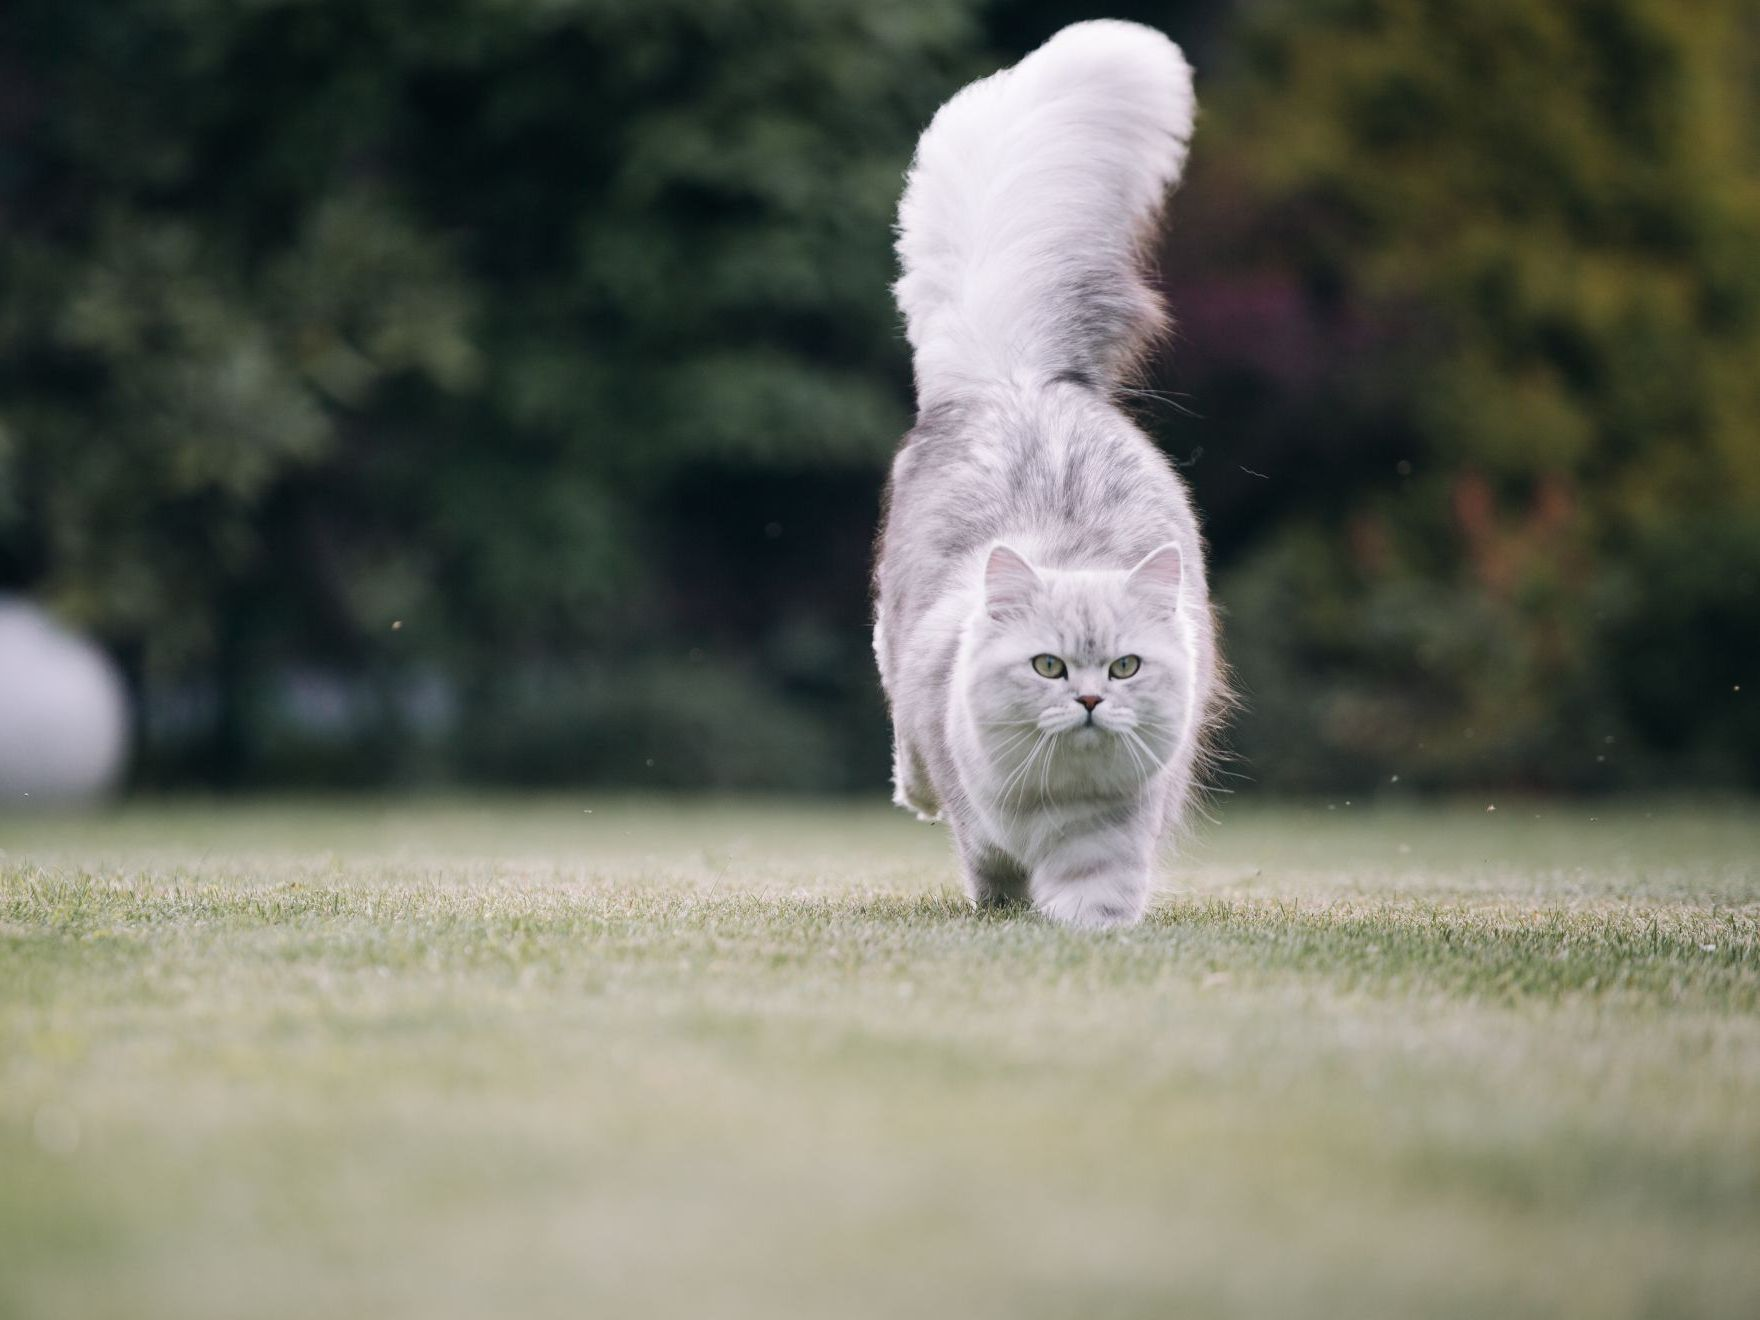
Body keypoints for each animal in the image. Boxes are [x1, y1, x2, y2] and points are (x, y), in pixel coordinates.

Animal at [869, 20, 1224, 929]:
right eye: (1048, 668)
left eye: (1125, 668)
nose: (1091, 702)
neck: (1058, 799)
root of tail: (1017, 379)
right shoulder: (981, 815)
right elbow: (987, 861)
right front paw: (1004, 903)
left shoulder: (1116, 832)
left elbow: (1097, 890)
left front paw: (1082, 928)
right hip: (892, 636)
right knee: (909, 754)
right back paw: (916, 796)